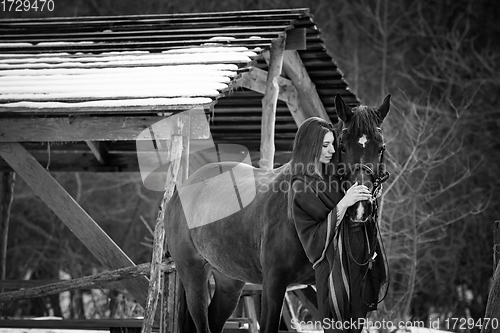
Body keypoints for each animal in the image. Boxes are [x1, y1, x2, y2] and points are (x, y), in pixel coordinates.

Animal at [164, 92, 390, 330]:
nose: (360, 208)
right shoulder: (274, 283)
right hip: (193, 275)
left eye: (381, 148)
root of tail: (182, 190)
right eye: (343, 146)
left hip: (229, 280)